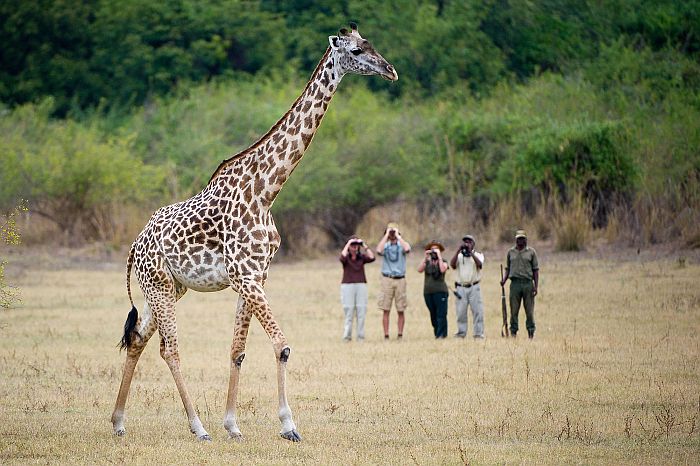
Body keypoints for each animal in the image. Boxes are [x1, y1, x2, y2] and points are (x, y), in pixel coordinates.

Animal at [108, 22, 394, 444]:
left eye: (371, 43)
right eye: (356, 51)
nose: (390, 71)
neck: (266, 190)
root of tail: (134, 245)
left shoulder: (256, 275)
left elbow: (238, 351)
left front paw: (233, 424)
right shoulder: (245, 276)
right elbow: (282, 346)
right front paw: (288, 426)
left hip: (167, 288)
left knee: (138, 339)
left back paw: (118, 422)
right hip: (158, 286)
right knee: (169, 348)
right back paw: (198, 427)